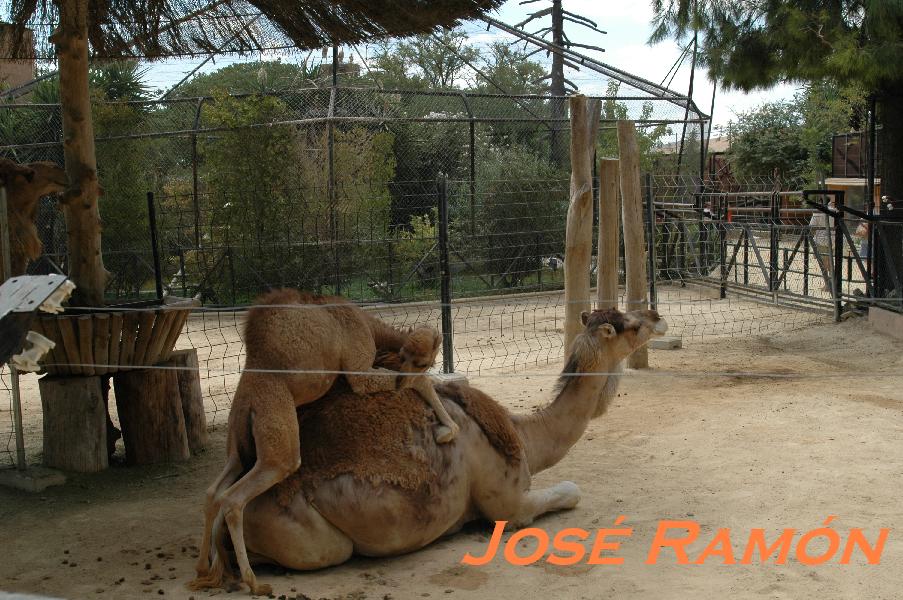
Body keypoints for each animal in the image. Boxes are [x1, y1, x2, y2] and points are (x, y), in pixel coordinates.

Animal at [193, 290, 456, 596]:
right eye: (420, 361)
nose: (405, 375)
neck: (367, 324)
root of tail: (248, 400)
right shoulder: (357, 368)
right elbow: (419, 382)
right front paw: (448, 430)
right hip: (278, 444)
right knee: (234, 499)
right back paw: (254, 583)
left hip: (238, 445)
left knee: (213, 493)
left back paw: (204, 569)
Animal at [200, 308, 664, 588]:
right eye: (630, 326)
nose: (656, 317)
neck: (523, 435)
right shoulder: (509, 505)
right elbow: (571, 491)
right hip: (315, 540)